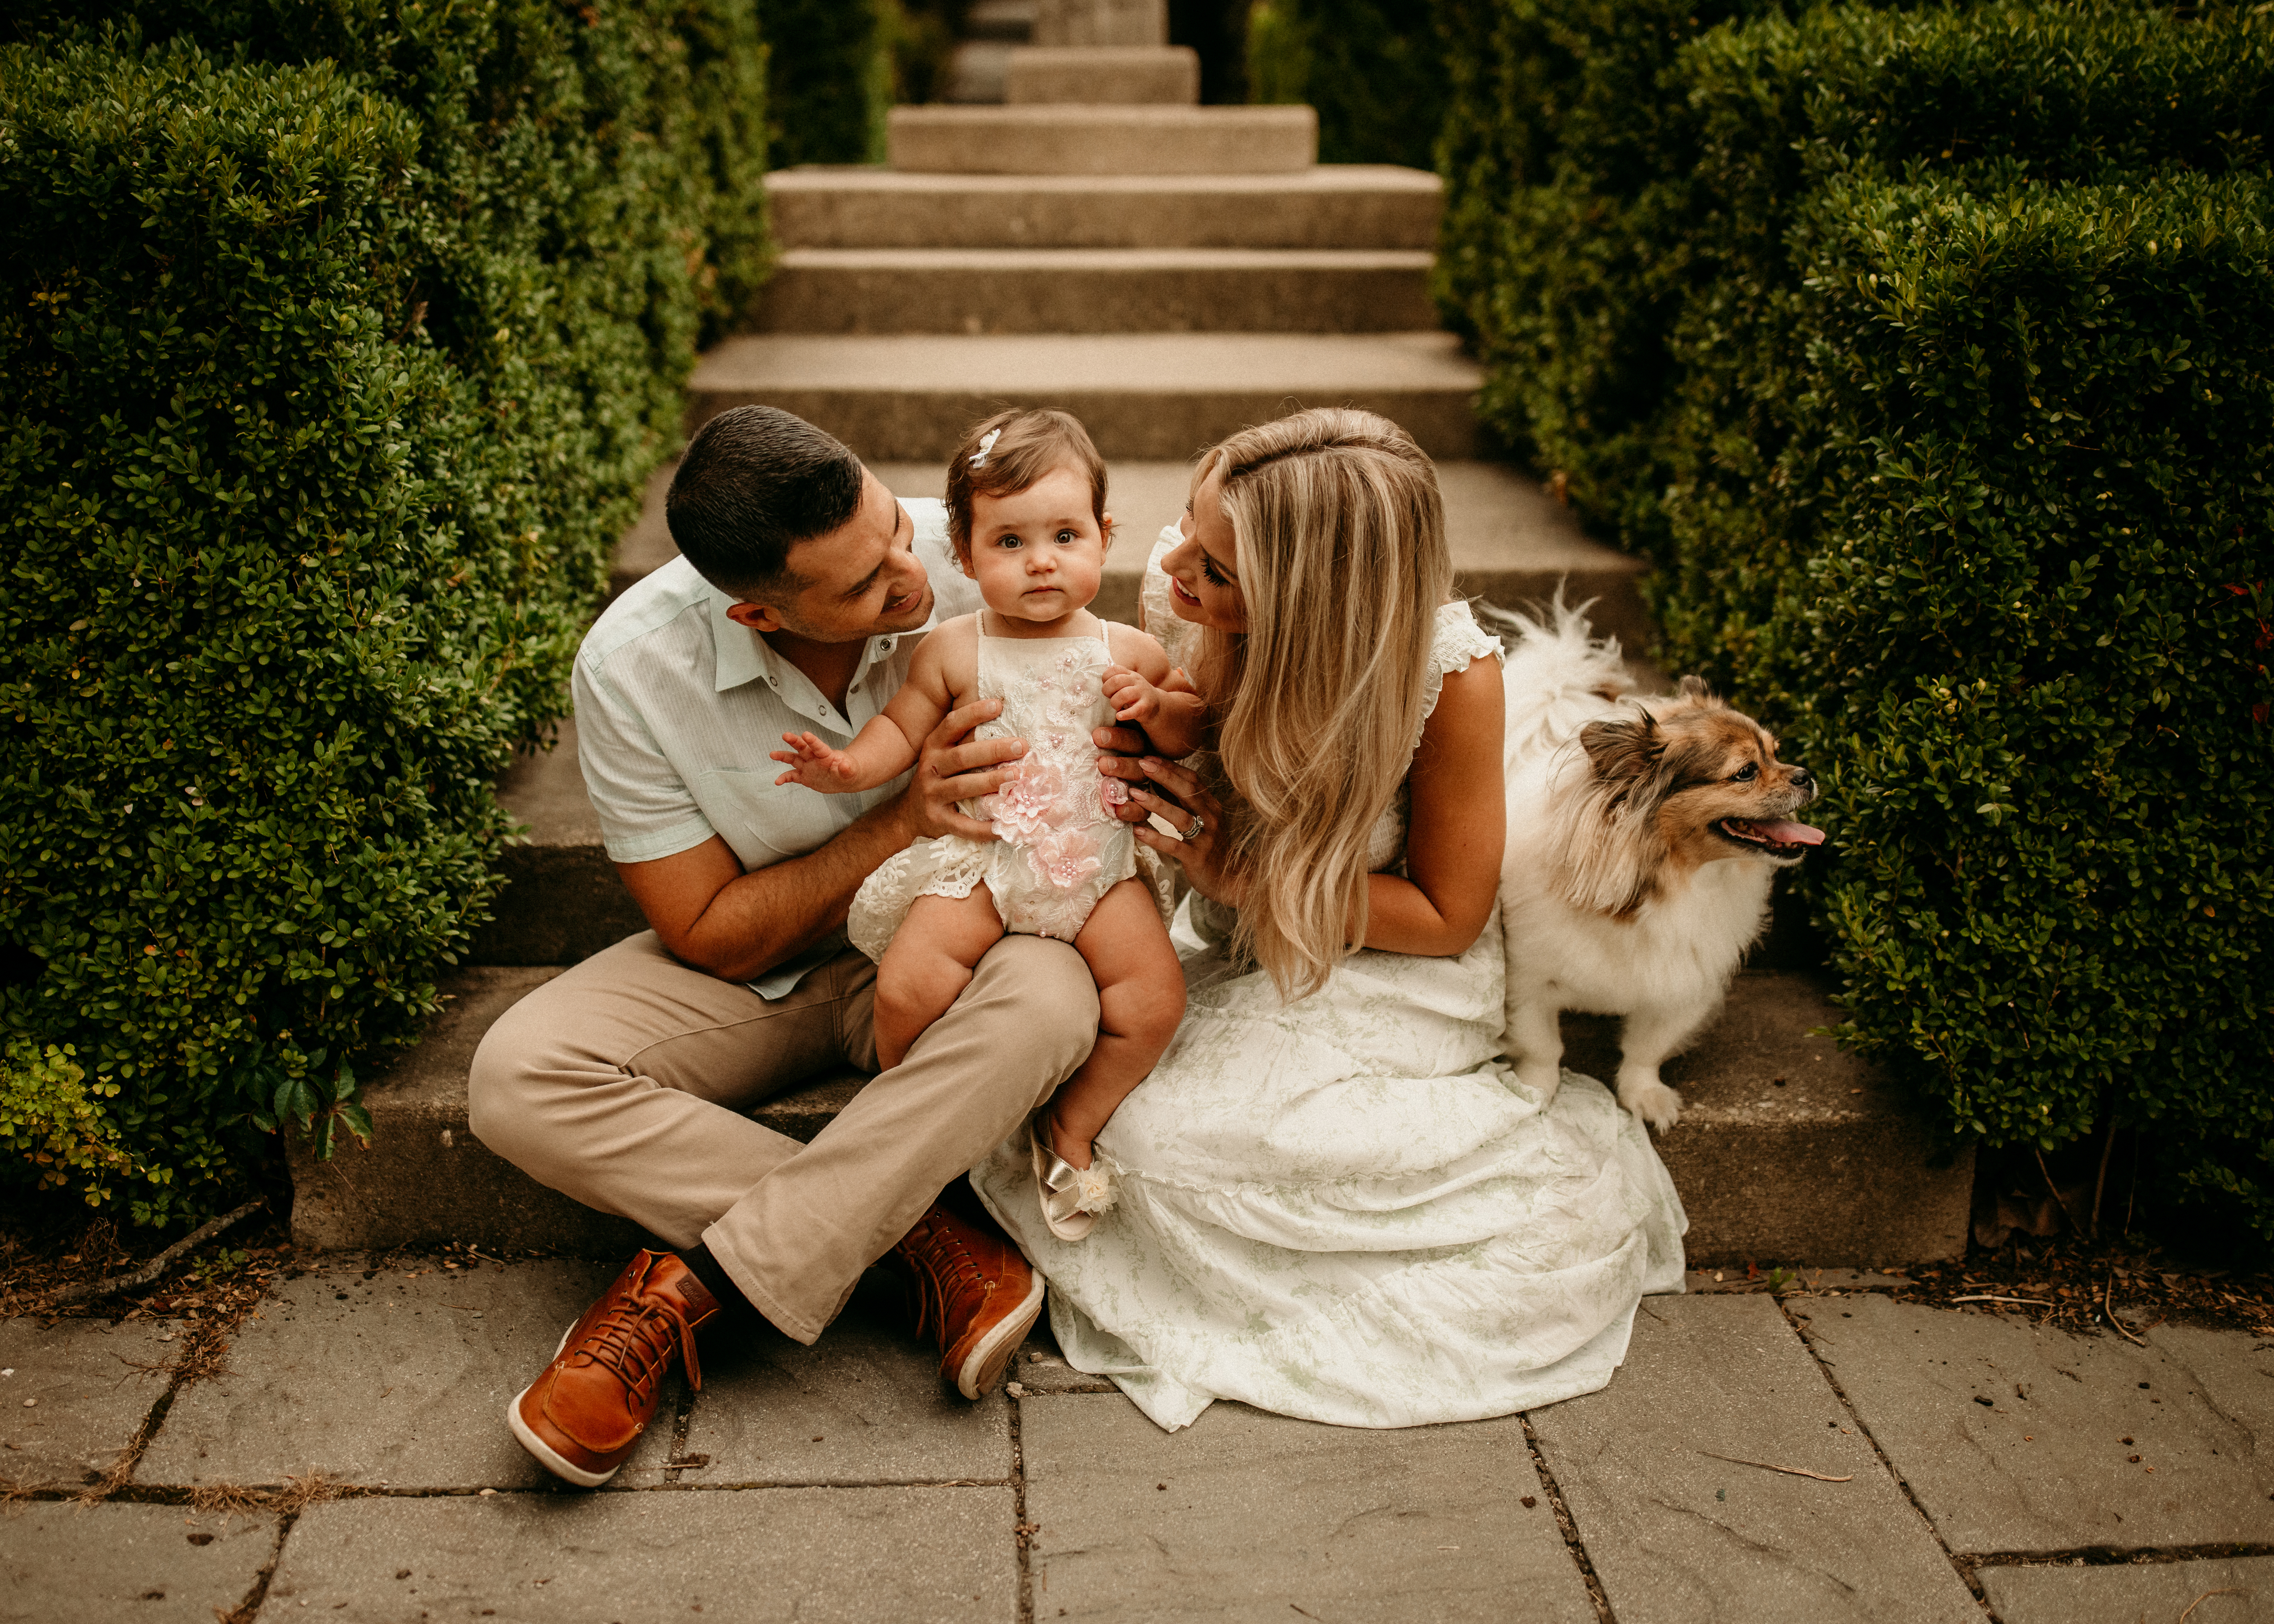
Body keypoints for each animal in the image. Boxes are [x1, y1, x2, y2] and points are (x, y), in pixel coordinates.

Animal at [1492, 600, 1828, 1133]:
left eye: (1777, 752)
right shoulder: (1527, 982)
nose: (1806, 774)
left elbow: (1644, 1051)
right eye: (1745, 772)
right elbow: (1542, 1048)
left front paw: (1644, 1097)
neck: (1674, 880)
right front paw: (1535, 1092)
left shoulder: (1679, 986)